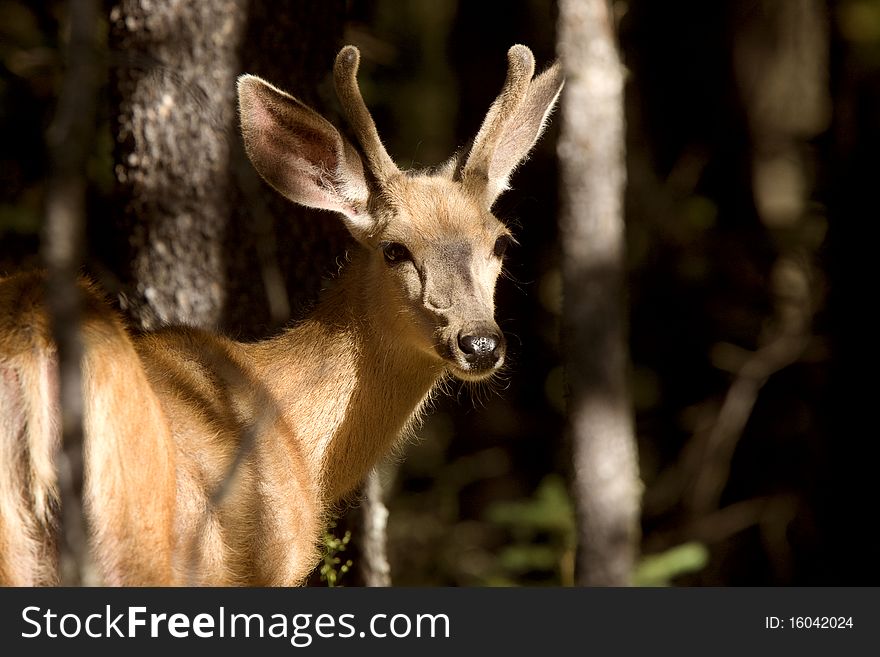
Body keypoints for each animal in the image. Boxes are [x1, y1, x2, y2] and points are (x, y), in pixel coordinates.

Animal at [0, 43, 560, 584]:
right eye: (395, 249)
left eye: (501, 243)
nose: (480, 343)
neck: (299, 438)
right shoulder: (266, 563)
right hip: (134, 533)